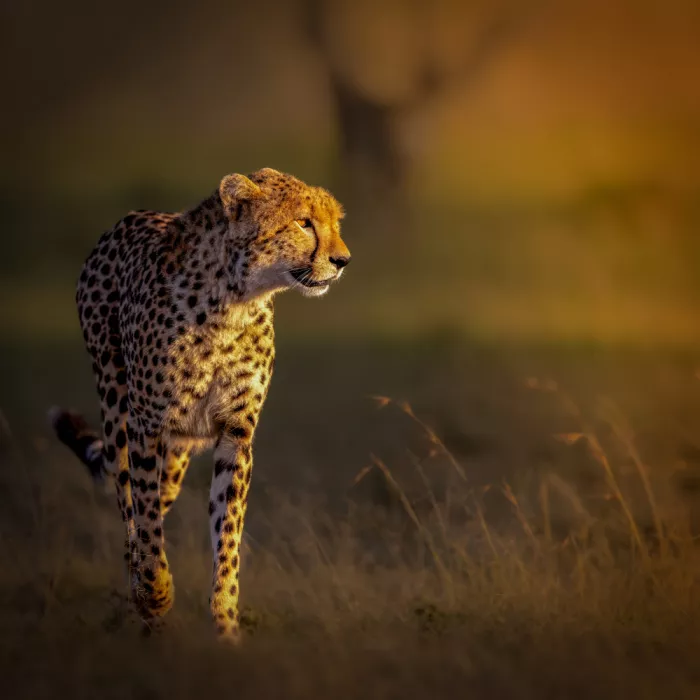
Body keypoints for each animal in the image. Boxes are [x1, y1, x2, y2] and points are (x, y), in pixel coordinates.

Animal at [49, 167, 350, 641]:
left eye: (335, 222)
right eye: (304, 223)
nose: (343, 260)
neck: (234, 300)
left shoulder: (235, 433)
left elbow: (227, 532)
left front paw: (225, 624)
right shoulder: (147, 426)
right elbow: (146, 520)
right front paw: (156, 592)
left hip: (175, 453)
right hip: (117, 411)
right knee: (129, 505)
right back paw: (141, 594)